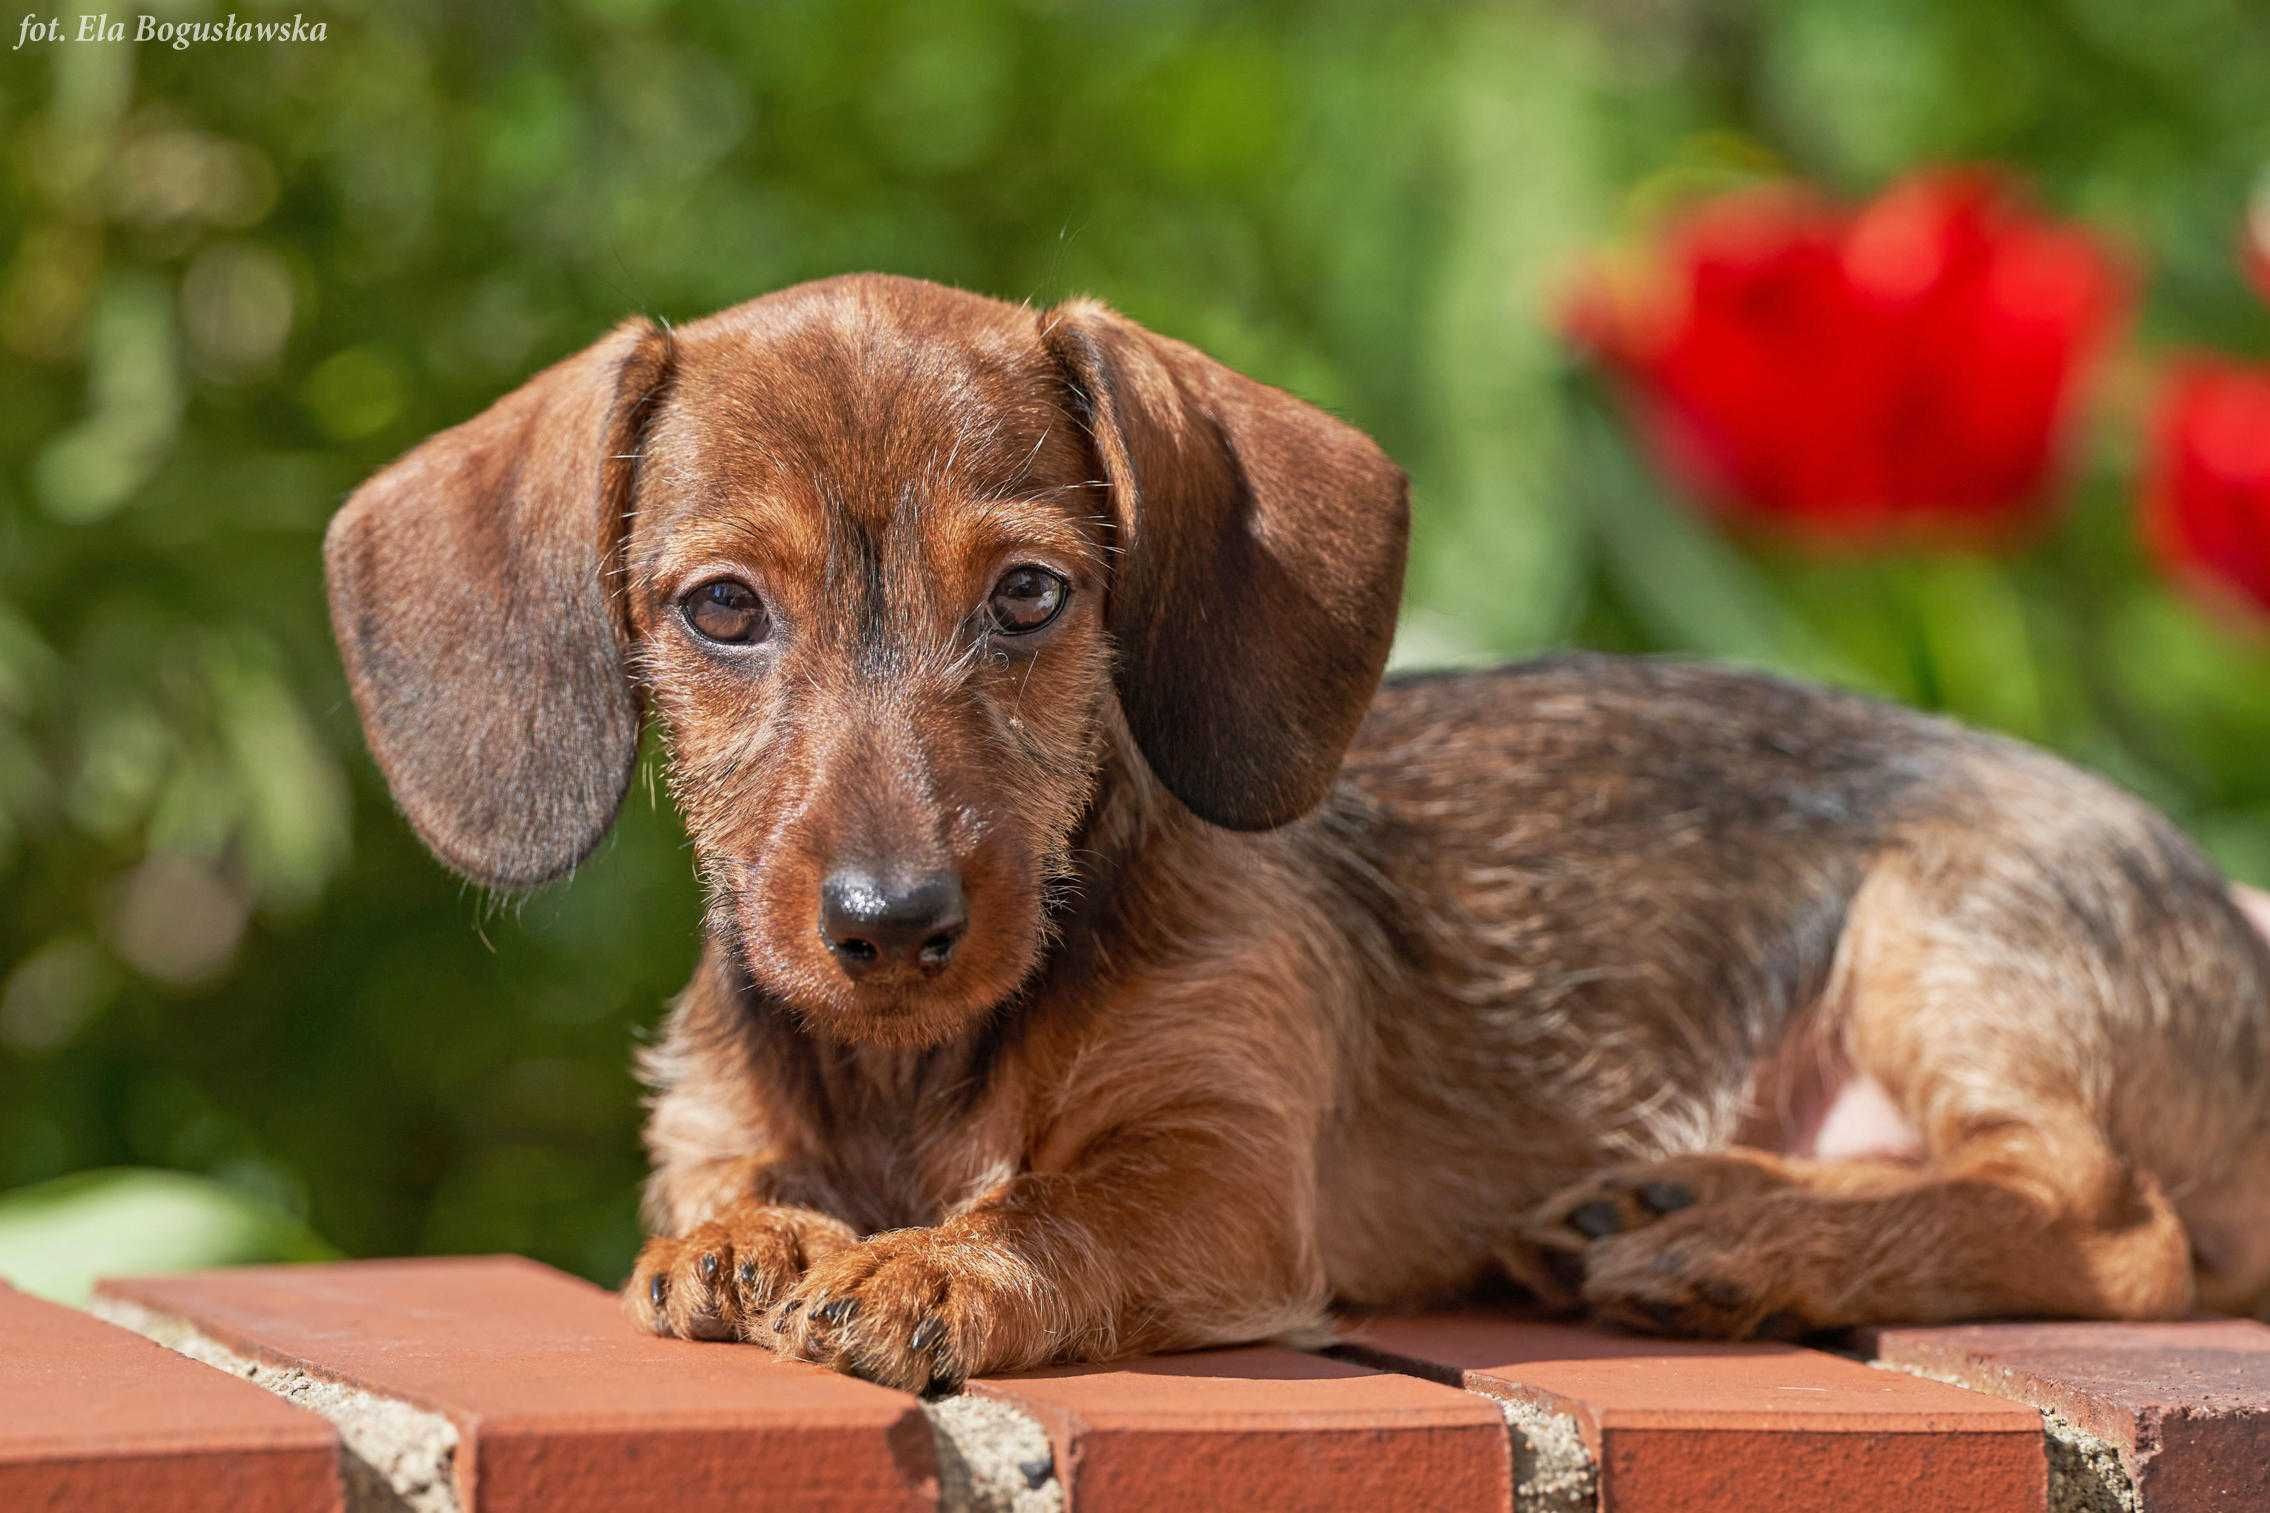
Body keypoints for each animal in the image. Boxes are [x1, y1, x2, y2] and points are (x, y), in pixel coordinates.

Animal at [329, 275, 2270, 1397]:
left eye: (1028, 594)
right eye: (723, 608)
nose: (890, 920)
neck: (916, 1070)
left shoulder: (1220, 1164)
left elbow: (1056, 1206)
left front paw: (932, 1266)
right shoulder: (710, 1110)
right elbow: (726, 1176)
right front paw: (753, 1240)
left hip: (1940, 927)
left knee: (2108, 1217)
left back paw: (1739, 1245)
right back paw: (1684, 1200)